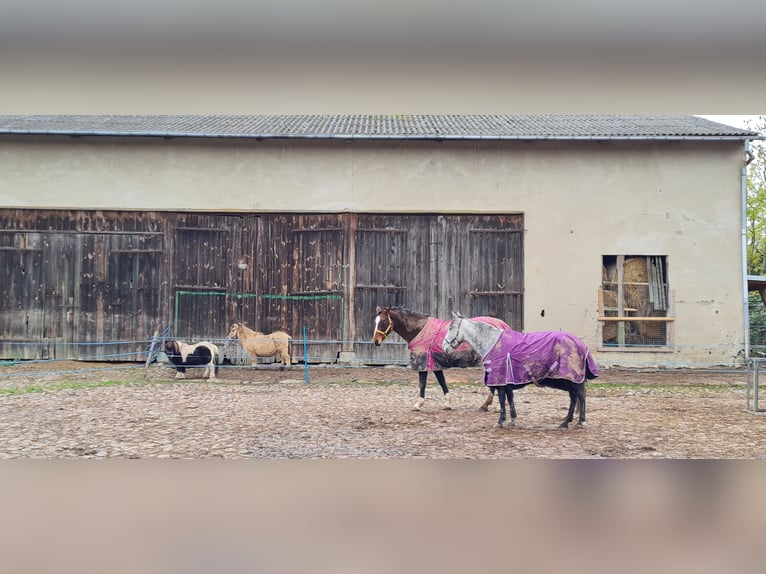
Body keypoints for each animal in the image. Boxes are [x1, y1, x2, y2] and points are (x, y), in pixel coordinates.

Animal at [372, 308, 510, 412]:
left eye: (383, 321)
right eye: (376, 321)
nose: (376, 341)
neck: (419, 330)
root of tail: (503, 325)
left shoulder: (423, 362)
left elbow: (423, 383)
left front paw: (418, 404)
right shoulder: (435, 364)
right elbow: (442, 381)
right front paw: (447, 404)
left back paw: (490, 405)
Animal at [444, 312, 600, 430]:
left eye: (451, 328)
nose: (444, 346)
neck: (492, 343)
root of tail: (580, 343)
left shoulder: (500, 381)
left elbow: (502, 400)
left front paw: (500, 421)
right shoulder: (507, 381)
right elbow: (510, 399)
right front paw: (512, 420)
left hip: (573, 379)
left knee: (581, 395)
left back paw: (580, 422)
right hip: (568, 380)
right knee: (574, 398)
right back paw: (565, 422)